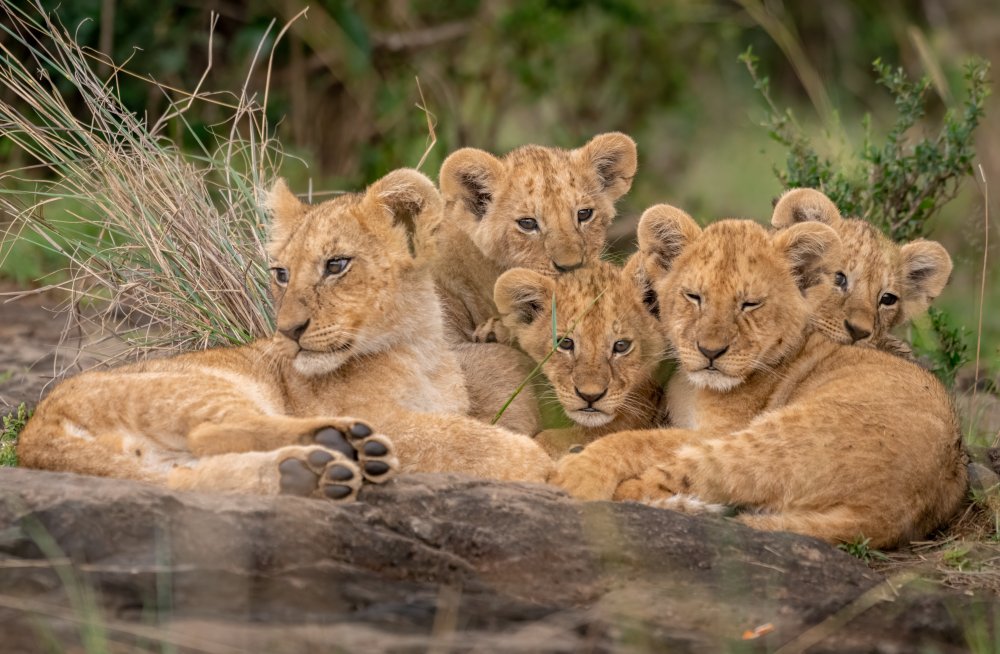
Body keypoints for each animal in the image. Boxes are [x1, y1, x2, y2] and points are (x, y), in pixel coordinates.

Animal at [18, 169, 554, 500]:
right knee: (212, 432)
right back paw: (340, 443)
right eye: (280, 273)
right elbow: (468, 441)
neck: (420, 349)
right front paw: (540, 463)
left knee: (190, 480)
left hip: (161, 465)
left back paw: (310, 472)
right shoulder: (388, 418)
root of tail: (34, 430)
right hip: (203, 387)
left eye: (336, 265)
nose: (288, 331)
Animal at [551, 204, 967, 548]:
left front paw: (581, 466)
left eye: (749, 304)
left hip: (768, 441)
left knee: (656, 484)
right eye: (694, 297)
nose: (710, 351)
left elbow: (633, 440)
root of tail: (884, 517)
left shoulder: (718, 429)